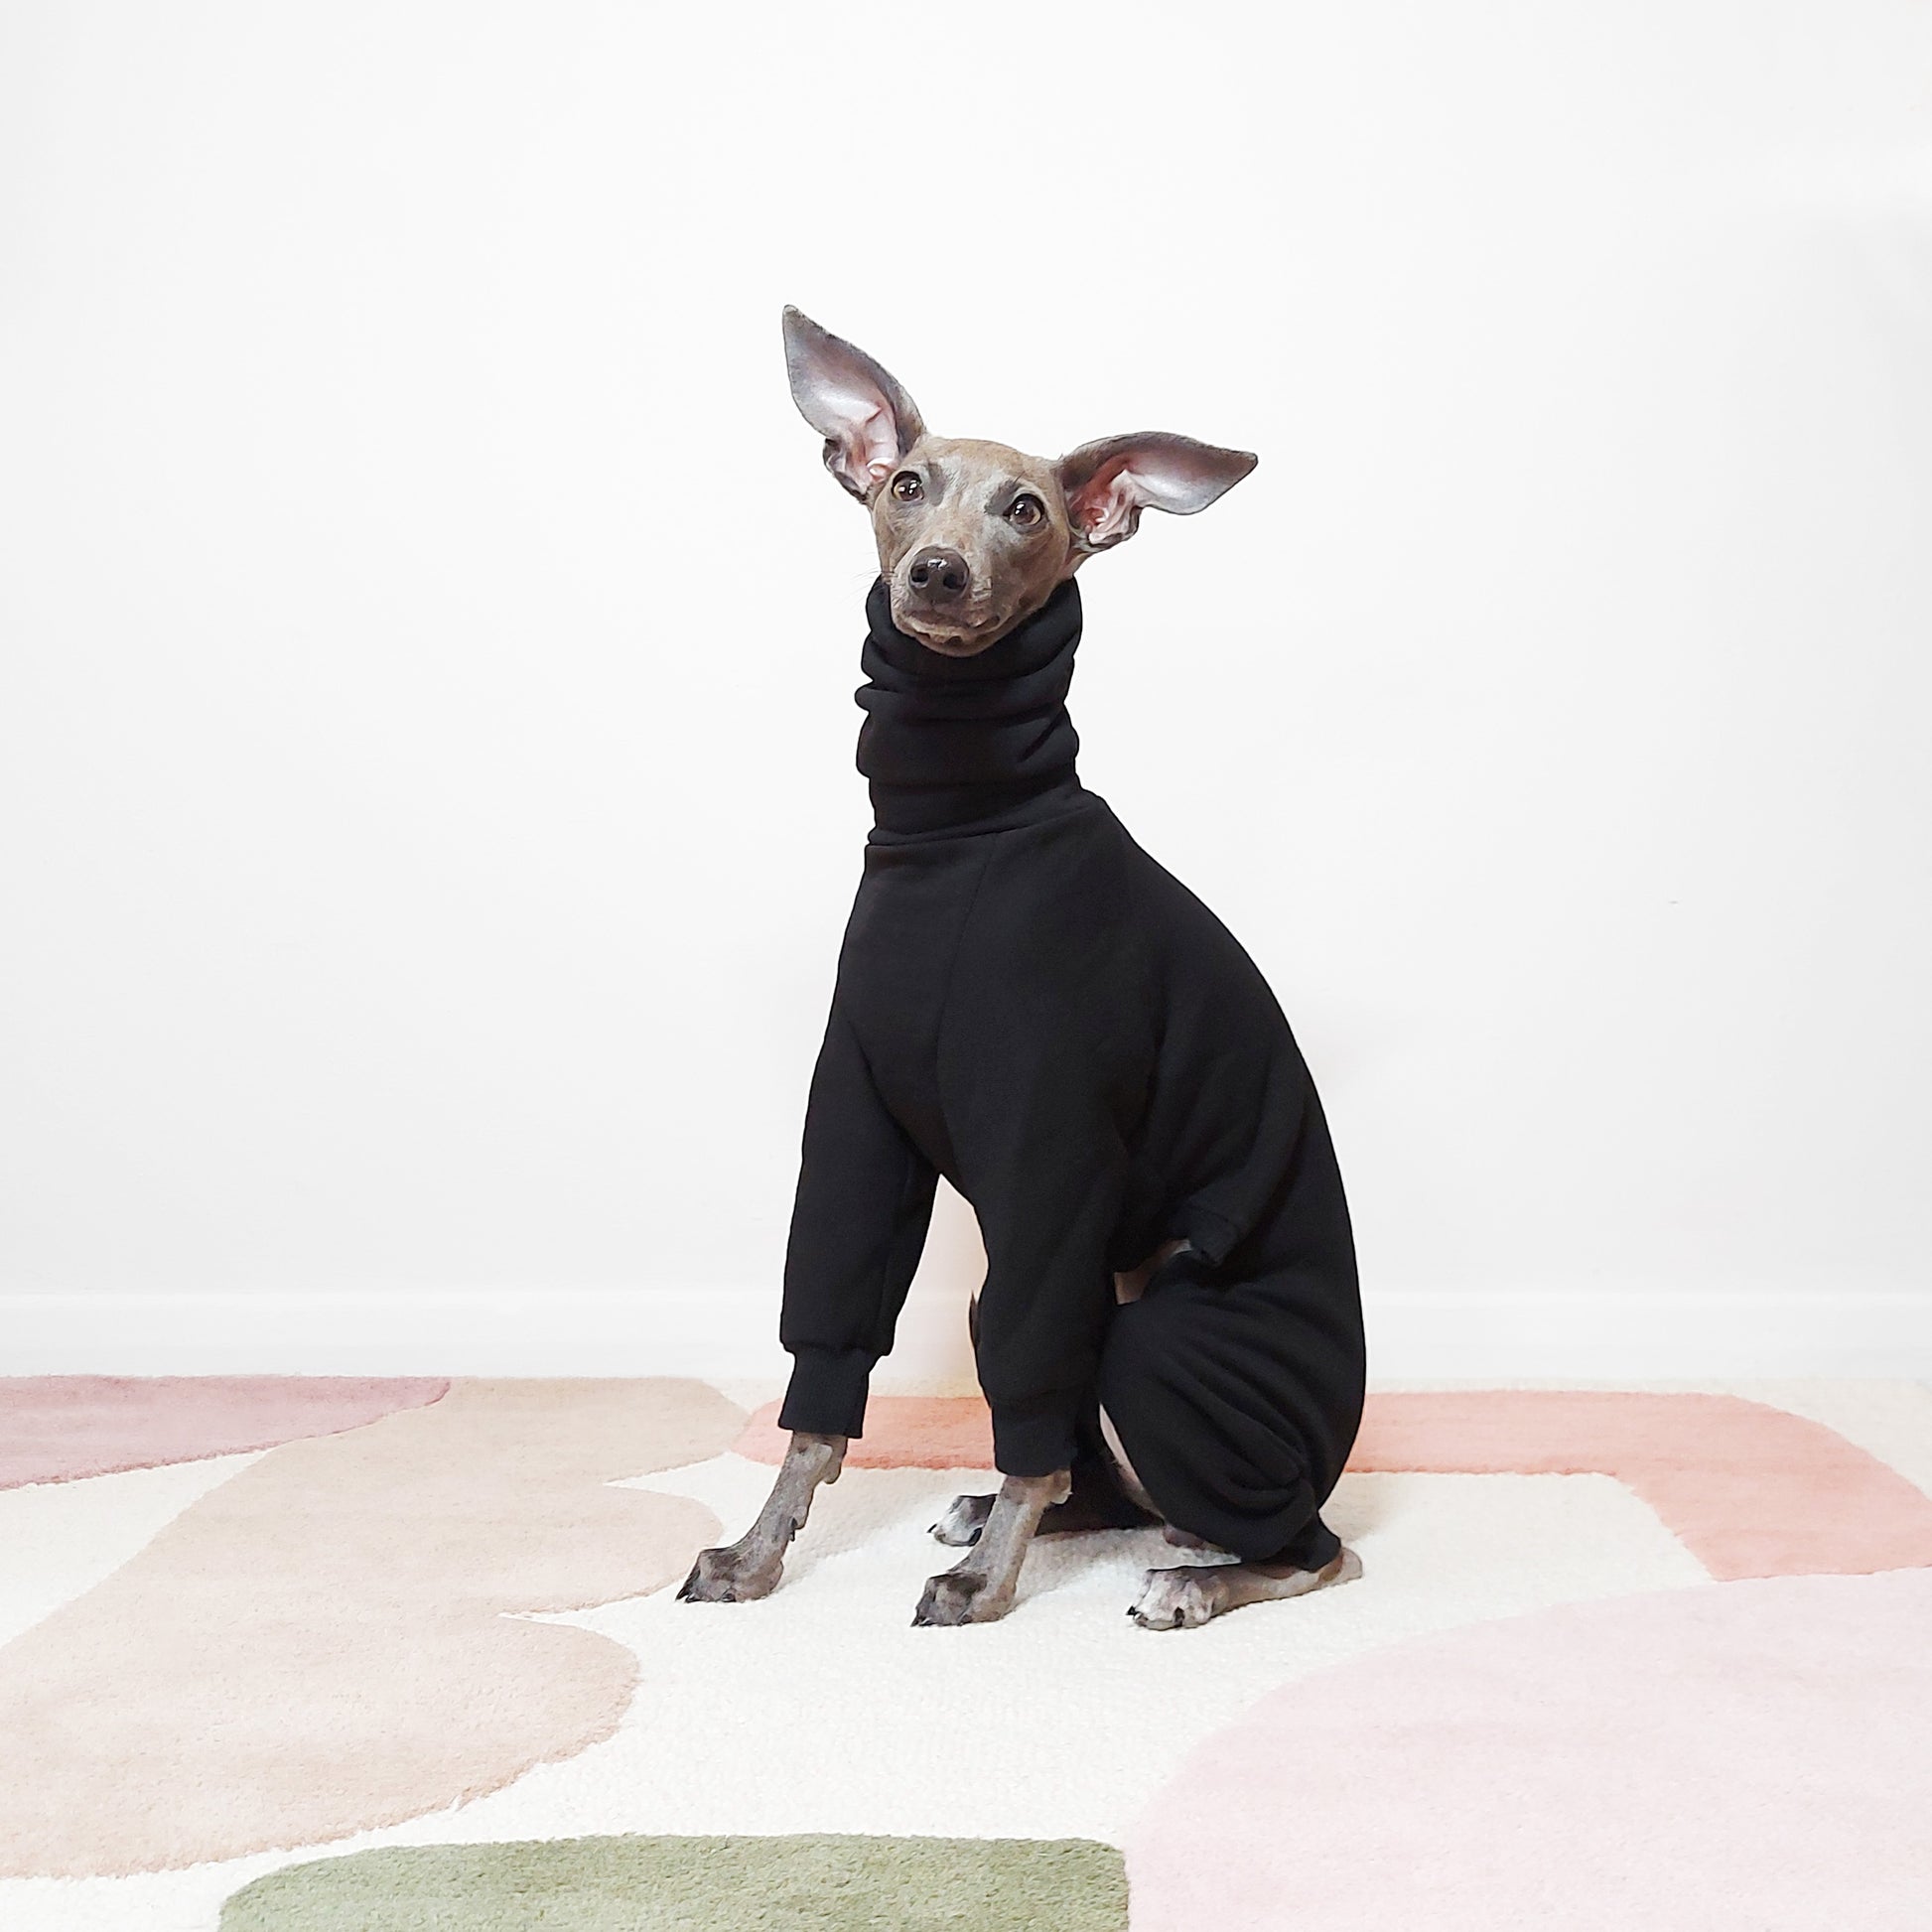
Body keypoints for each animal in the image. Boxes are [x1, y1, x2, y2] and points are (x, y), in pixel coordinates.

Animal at [679, 309, 1375, 1622]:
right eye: (905, 484)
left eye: (1026, 509)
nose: (937, 575)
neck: (960, 825)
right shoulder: (856, 1127)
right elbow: (824, 1373)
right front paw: (755, 1551)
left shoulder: (1050, 1152)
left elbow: (1028, 1394)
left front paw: (985, 1583)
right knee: (1099, 1477)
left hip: (1157, 1336)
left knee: (1314, 1546)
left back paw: (1189, 1575)